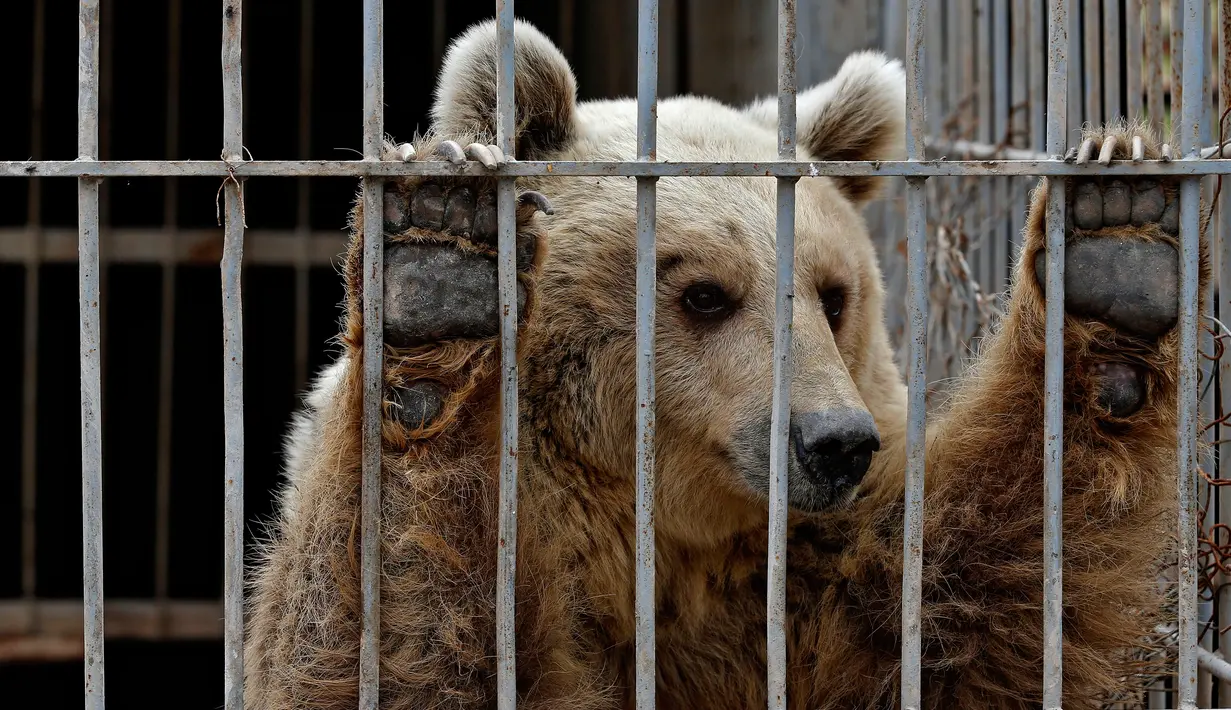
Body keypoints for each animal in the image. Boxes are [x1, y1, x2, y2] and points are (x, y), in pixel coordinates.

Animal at [244, 17, 1206, 708]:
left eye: (831, 293)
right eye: (704, 293)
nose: (834, 442)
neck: (664, 539)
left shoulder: (807, 584)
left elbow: (965, 605)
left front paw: (1114, 239)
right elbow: (403, 631)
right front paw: (442, 267)